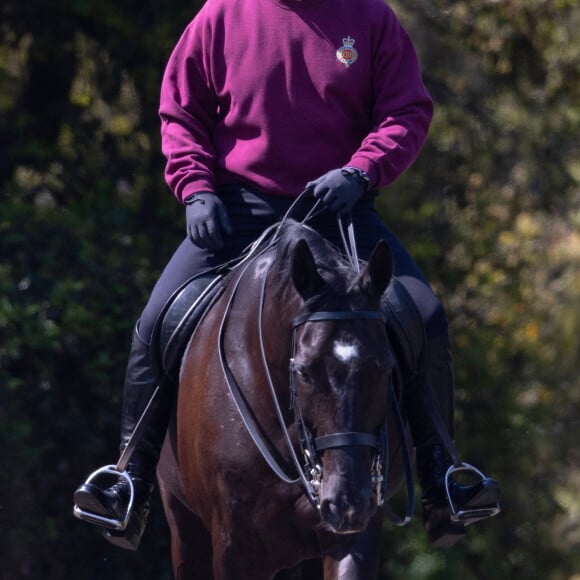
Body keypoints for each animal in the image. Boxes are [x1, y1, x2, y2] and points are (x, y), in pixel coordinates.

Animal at [157, 219, 412, 580]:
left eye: (386, 366)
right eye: (303, 371)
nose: (347, 504)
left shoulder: (354, 533)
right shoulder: (234, 545)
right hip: (185, 527)